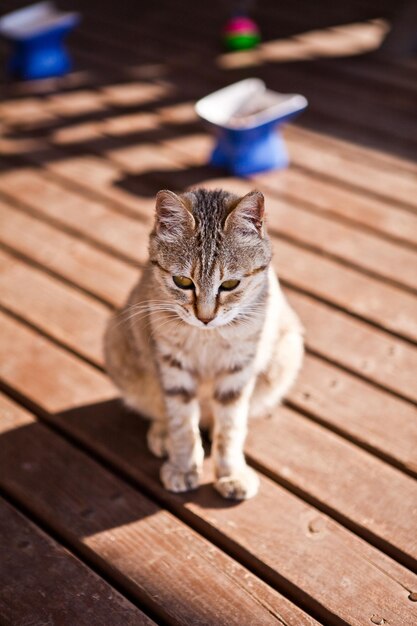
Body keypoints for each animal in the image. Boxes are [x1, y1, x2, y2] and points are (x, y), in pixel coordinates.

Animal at [104, 186, 302, 498]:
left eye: (230, 284)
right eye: (183, 282)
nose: (205, 317)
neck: (207, 337)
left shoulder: (238, 369)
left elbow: (231, 428)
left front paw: (231, 473)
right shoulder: (172, 365)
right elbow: (182, 422)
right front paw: (183, 467)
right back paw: (164, 435)